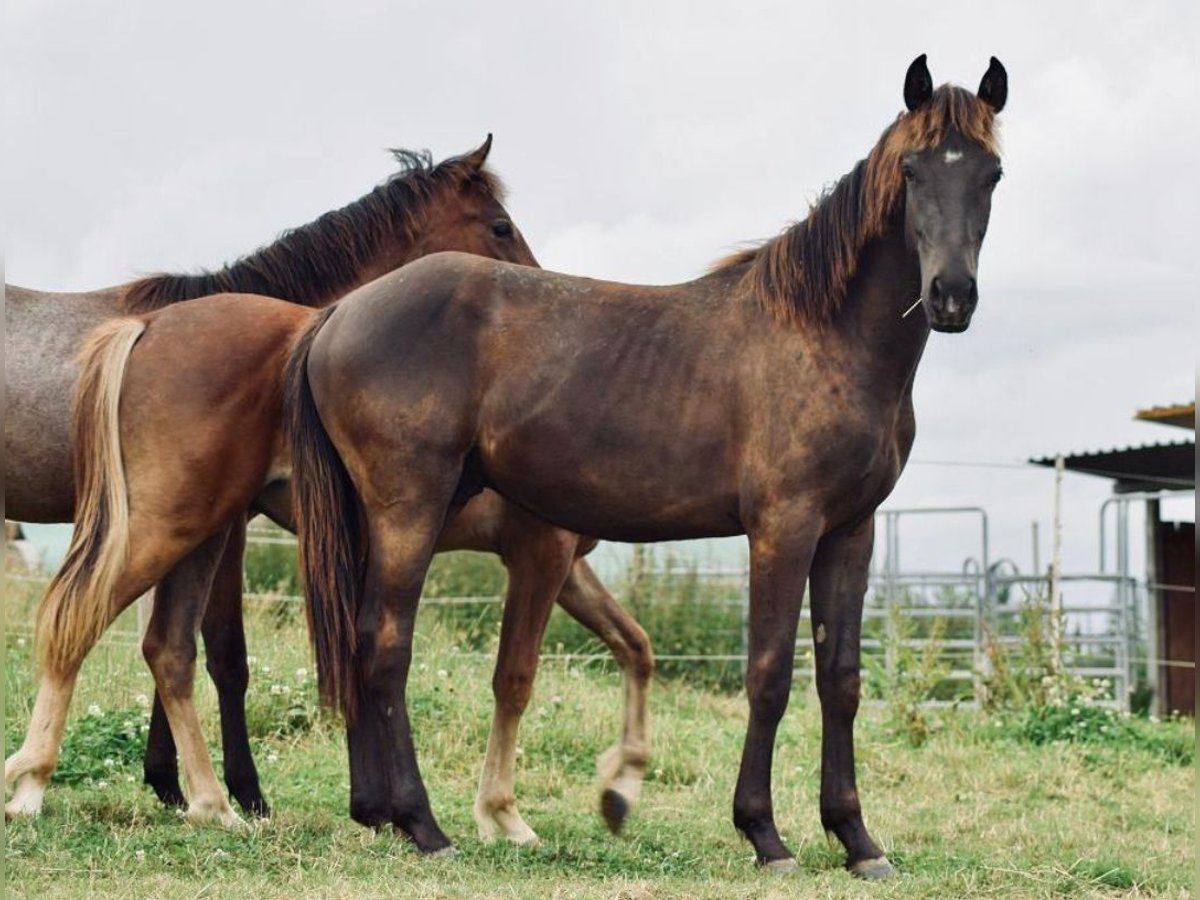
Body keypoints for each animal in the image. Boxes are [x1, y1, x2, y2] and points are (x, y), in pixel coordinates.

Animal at [285, 56, 1008, 873]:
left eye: (992, 173)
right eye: (913, 170)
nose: (950, 296)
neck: (823, 335)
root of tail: (337, 315)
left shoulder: (850, 532)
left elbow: (841, 681)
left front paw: (856, 839)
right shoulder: (783, 529)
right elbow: (769, 675)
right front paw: (764, 834)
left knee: (356, 643)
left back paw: (378, 812)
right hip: (409, 509)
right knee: (385, 646)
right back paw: (424, 825)